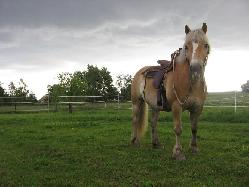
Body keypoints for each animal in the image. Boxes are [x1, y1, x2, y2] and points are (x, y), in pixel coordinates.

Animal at [130, 23, 210, 161]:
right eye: (186, 47)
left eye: (205, 45)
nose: (195, 69)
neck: (191, 83)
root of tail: (140, 72)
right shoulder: (176, 106)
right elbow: (178, 129)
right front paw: (178, 152)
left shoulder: (197, 108)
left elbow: (194, 128)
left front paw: (194, 148)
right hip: (137, 102)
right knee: (135, 120)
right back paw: (135, 141)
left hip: (155, 106)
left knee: (153, 123)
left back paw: (156, 144)